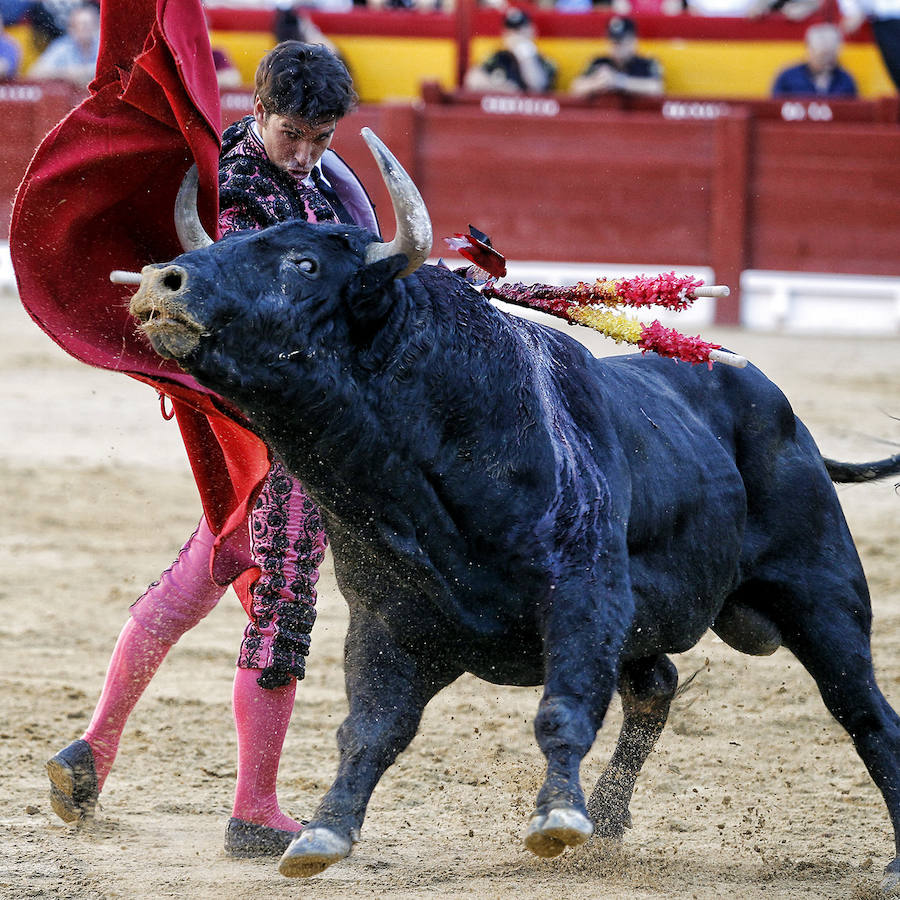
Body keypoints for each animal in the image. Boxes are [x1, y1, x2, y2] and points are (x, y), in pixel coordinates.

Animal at [132, 176, 900, 884]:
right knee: (656, 684)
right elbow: (370, 729)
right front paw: (324, 831)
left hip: (822, 596)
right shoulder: (386, 620)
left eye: (303, 263)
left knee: (864, 713)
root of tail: (792, 424)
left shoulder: (585, 600)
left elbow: (562, 709)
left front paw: (557, 816)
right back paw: (610, 819)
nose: (163, 281)